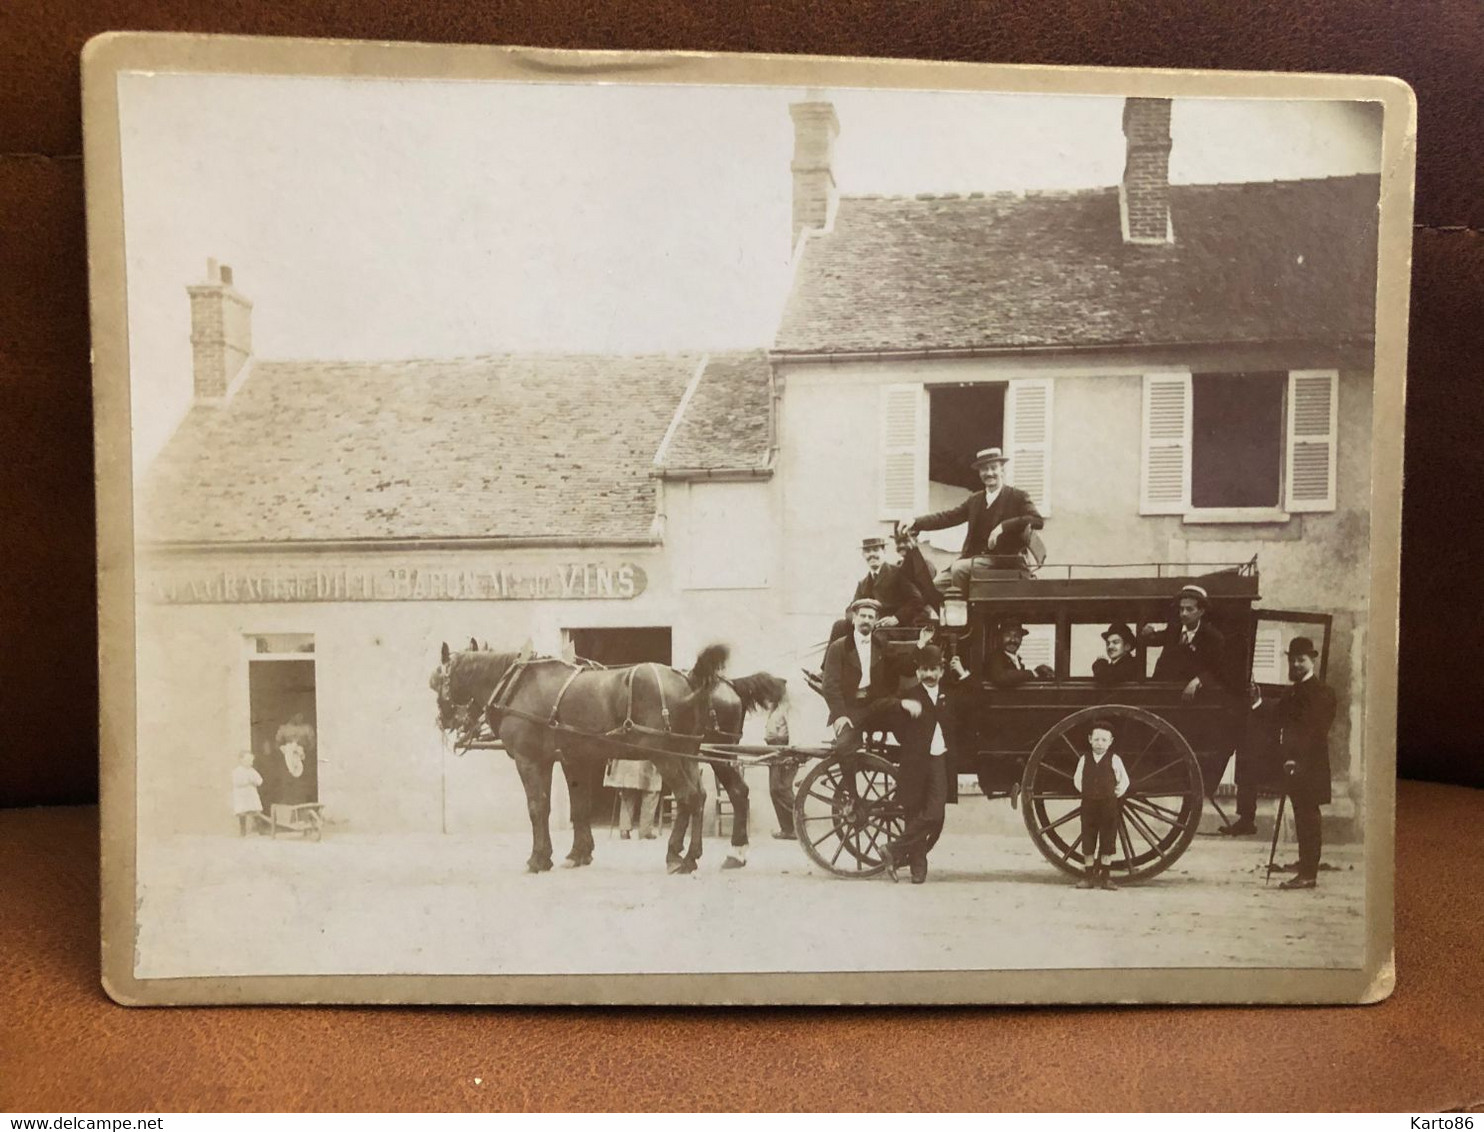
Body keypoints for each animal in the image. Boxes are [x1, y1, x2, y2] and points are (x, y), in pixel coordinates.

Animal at [430, 640, 724, 872]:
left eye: (436, 683)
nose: (444, 721)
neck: (516, 684)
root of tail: (688, 679)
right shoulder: (572, 761)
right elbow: (578, 808)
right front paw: (578, 853)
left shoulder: (530, 761)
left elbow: (537, 807)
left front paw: (538, 858)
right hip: (685, 753)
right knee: (699, 798)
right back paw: (691, 854)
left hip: (665, 756)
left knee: (688, 796)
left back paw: (677, 857)